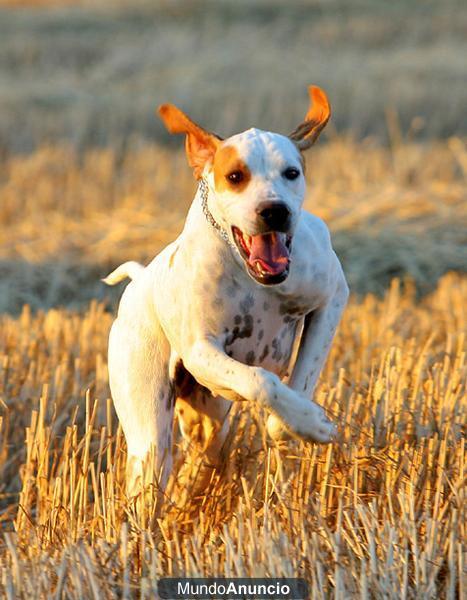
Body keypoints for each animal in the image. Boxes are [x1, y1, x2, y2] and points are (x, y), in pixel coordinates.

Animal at [104, 85, 350, 496]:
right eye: (235, 176)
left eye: (292, 172)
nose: (274, 210)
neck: (252, 276)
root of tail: (140, 282)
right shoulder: (201, 350)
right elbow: (260, 380)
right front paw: (307, 420)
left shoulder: (331, 298)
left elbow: (300, 379)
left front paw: (300, 422)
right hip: (150, 437)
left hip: (208, 421)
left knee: (203, 457)